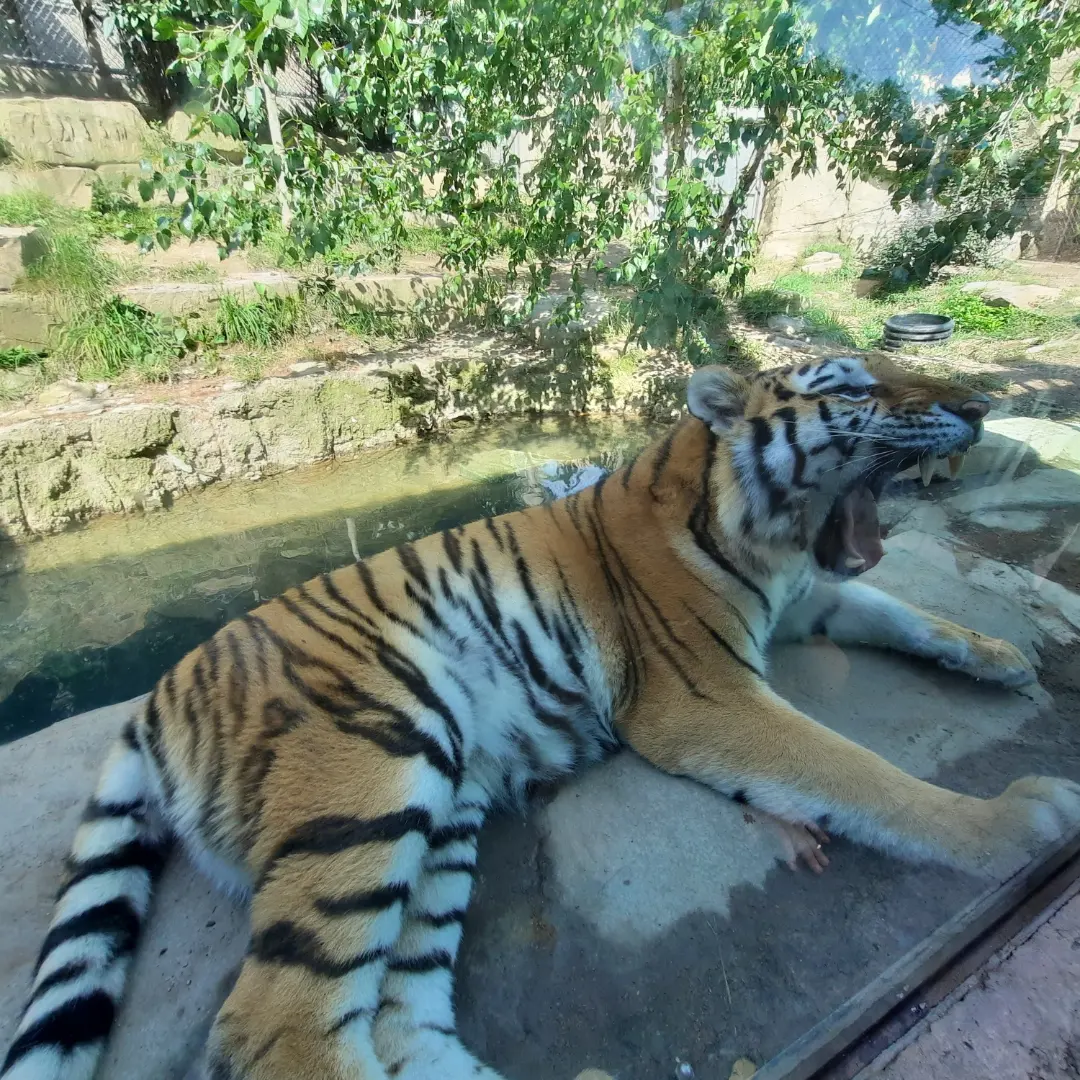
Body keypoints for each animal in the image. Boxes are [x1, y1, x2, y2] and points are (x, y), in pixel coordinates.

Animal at [4, 352, 1080, 1080]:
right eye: (853, 387)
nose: (979, 407)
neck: (761, 531)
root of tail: (155, 699)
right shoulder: (705, 695)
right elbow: (861, 774)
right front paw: (1017, 819)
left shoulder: (809, 595)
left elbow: (901, 611)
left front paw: (998, 654)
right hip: (369, 772)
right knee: (275, 1024)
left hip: (441, 807)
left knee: (399, 1019)